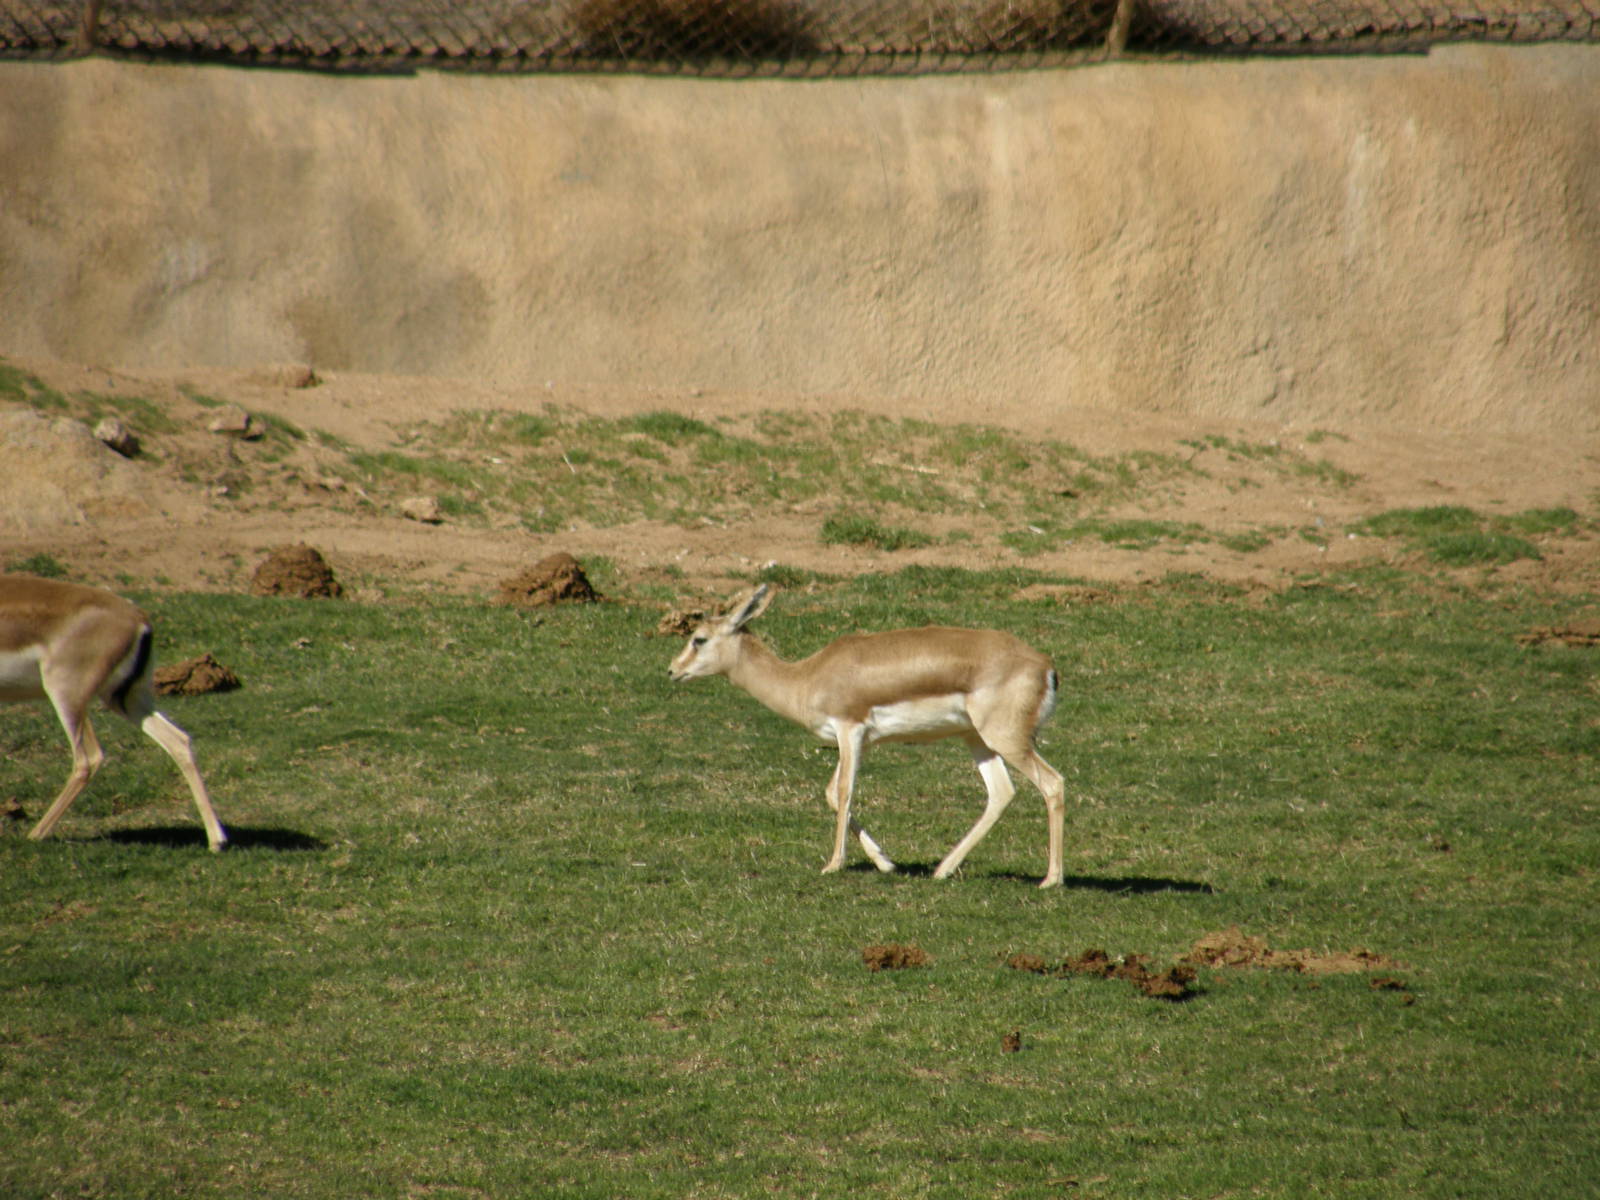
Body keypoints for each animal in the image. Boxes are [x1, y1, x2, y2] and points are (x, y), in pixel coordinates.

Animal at [0, 574, 227, 851]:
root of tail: (138, 618)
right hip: (126, 699)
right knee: (178, 740)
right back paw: (216, 840)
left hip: (66, 695)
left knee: (88, 759)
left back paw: (35, 835)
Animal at [668, 585, 1066, 887]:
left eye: (699, 639)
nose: (672, 670)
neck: (806, 677)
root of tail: (1045, 666)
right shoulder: (857, 741)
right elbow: (831, 792)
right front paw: (886, 863)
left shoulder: (850, 730)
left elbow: (845, 791)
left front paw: (833, 864)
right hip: (977, 739)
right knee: (1001, 792)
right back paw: (943, 869)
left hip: (1006, 739)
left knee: (1053, 783)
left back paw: (1051, 879)